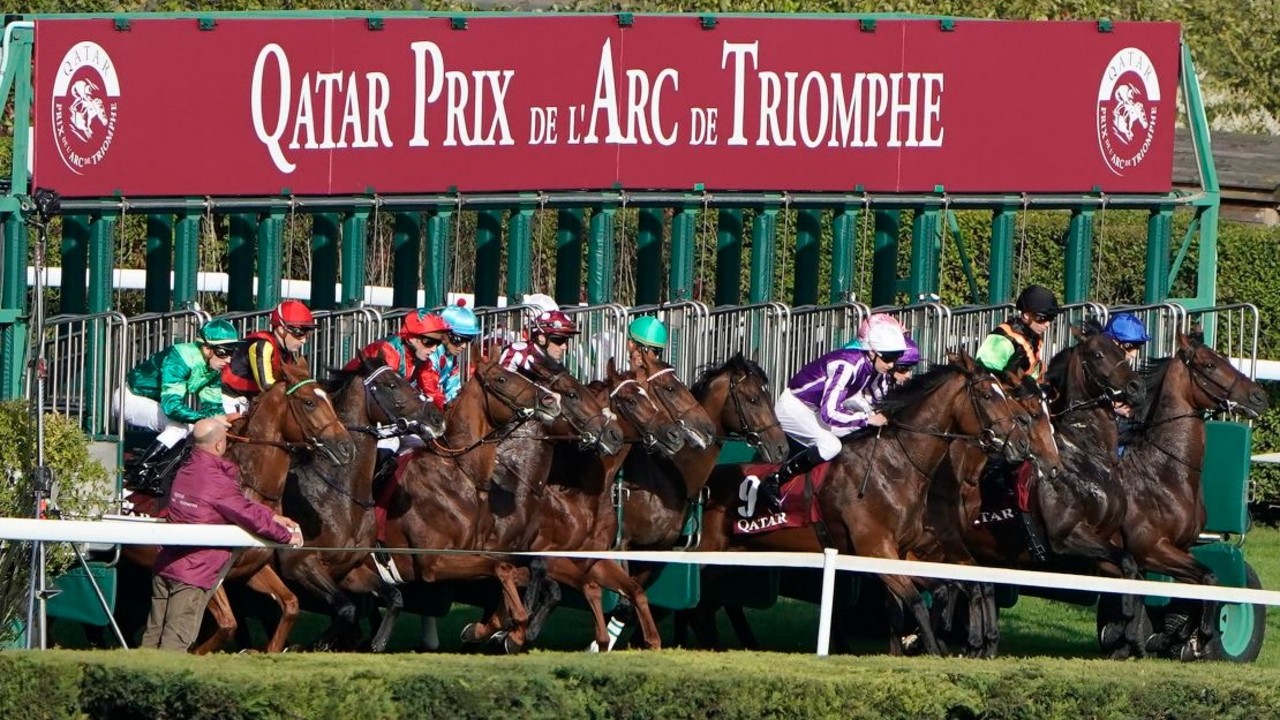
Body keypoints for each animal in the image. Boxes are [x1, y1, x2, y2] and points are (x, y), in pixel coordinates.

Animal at [275, 356, 445, 653]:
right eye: (391, 384)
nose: (436, 418)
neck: (336, 494)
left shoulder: (348, 569)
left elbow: (392, 597)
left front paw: (376, 642)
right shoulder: (298, 563)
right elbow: (346, 610)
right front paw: (317, 644)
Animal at [696, 353, 1034, 655]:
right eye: (988, 395)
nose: (1020, 443)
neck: (894, 466)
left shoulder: (904, 551)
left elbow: (942, 591)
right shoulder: (877, 550)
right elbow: (917, 602)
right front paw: (937, 650)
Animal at [1116, 333, 1264, 661]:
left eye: (1225, 358)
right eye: (1209, 364)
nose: (1259, 396)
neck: (1166, 473)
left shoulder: (1181, 549)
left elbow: (1202, 585)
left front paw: (1170, 636)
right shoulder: (1153, 550)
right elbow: (1208, 580)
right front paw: (1201, 635)